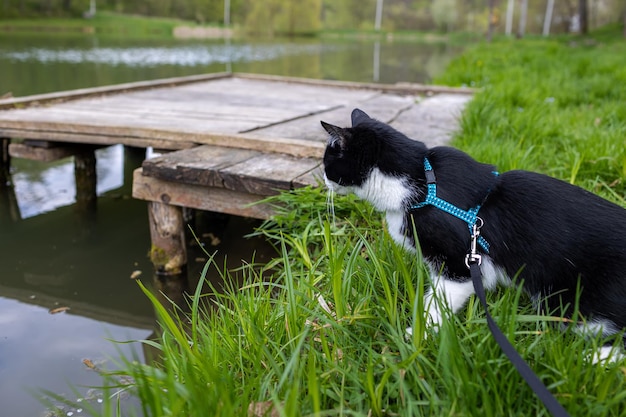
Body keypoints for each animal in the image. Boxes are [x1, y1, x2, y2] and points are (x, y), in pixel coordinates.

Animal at [322, 107, 624, 360]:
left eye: (327, 163)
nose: (323, 180)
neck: (422, 182)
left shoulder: (458, 263)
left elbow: (438, 301)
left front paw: (417, 336)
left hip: (571, 306)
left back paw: (596, 359)